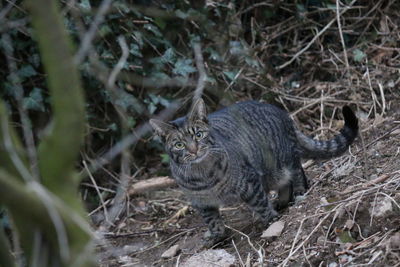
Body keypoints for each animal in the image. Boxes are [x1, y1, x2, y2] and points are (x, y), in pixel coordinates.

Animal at [148, 99, 358, 248]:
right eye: (179, 145)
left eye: (198, 135)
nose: (193, 150)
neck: (202, 174)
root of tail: (281, 112)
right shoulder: (201, 202)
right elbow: (213, 222)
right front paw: (217, 237)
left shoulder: (249, 182)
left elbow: (261, 204)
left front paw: (272, 221)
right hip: (272, 174)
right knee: (286, 182)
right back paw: (282, 200)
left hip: (283, 159)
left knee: (297, 172)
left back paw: (297, 193)